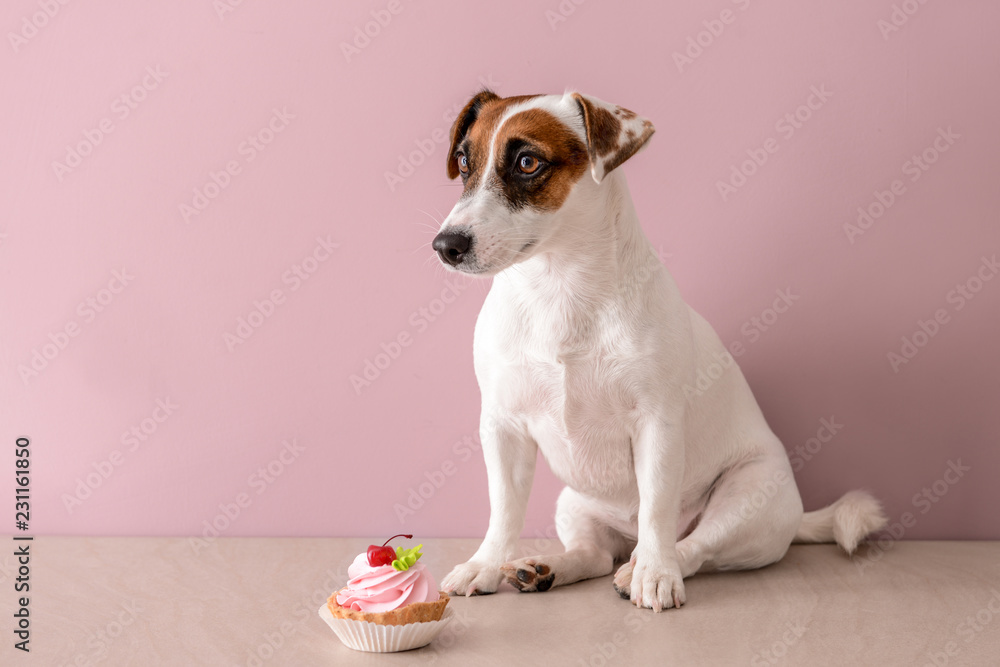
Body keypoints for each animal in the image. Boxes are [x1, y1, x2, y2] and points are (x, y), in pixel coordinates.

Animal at [430, 88, 884, 612]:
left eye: (527, 162)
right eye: (465, 161)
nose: (446, 245)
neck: (559, 288)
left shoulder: (657, 424)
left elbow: (657, 510)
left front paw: (654, 575)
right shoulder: (502, 427)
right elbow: (503, 509)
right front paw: (485, 564)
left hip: (747, 498)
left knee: (691, 546)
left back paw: (645, 567)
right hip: (574, 503)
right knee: (593, 554)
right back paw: (545, 568)